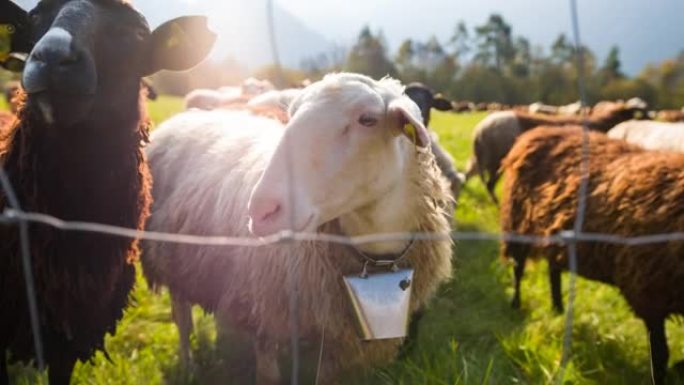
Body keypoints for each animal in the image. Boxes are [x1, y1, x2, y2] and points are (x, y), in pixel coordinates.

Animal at [143, 73, 454, 384]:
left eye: (367, 119)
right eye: (291, 115)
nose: (260, 211)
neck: (374, 251)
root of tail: (189, 116)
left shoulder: (336, 336)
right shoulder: (267, 312)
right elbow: (268, 375)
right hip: (170, 258)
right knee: (183, 319)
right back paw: (188, 366)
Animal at [500, 124, 684, 382]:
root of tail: (539, 130)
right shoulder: (648, 294)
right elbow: (660, 354)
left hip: (555, 234)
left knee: (553, 271)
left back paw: (557, 309)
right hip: (517, 222)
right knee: (518, 268)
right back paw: (516, 303)